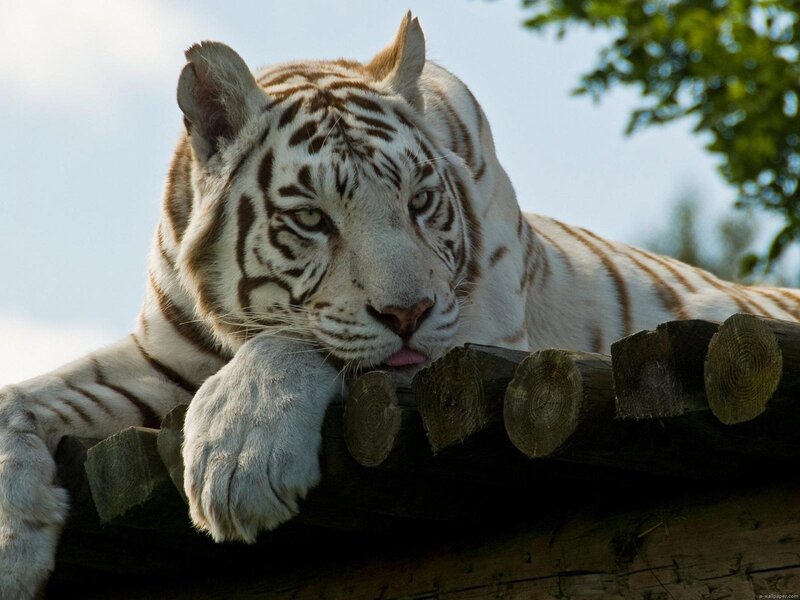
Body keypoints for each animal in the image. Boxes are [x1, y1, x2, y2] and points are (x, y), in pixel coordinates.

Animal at [2, 11, 799, 597]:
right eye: (312, 219)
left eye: (419, 202)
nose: (407, 313)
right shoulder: (158, 358)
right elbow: (20, 399)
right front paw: (14, 545)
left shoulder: (475, 329)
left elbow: (300, 342)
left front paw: (238, 461)